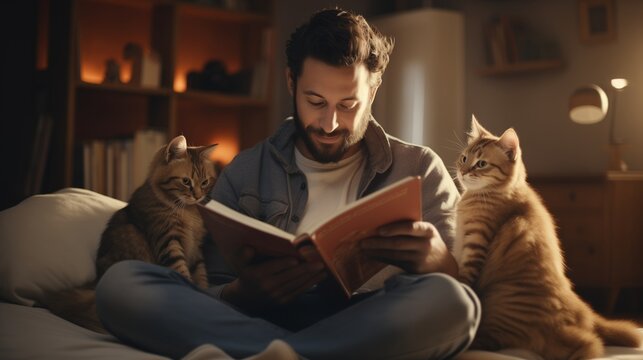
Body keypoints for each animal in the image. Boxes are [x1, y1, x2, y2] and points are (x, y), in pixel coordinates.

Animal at [456, 116, 640, 358]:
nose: (462, 171)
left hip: (500, 303)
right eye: (464, 158)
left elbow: (464, 278)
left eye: (481, 164)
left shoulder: (474, 245)